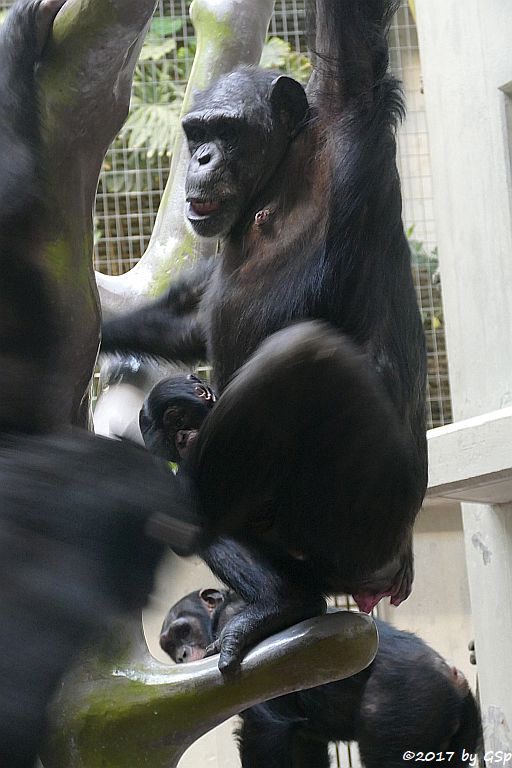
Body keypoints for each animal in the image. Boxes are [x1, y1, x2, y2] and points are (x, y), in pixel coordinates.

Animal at [103, 0, 428, 672]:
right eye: (195, 132)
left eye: (226, 132)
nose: (201, 159)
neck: (277, 176)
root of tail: (389, 576)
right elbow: (188, 320)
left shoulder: (352, 112)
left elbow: (354, 38)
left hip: (360, 522)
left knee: (302, 357)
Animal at [161, 592, 484, 768]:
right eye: (169, 646)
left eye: (183, 631)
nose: (182, 655)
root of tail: (452, 677)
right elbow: (305, 747)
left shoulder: (235, 626)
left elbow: (264, 729)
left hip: (407, 706)